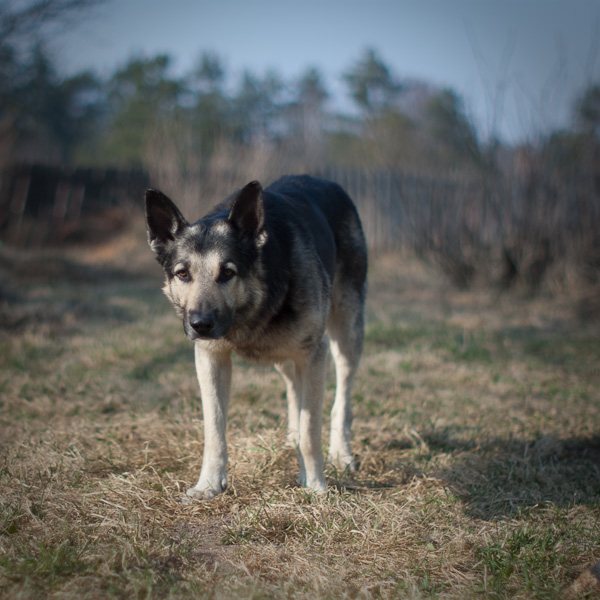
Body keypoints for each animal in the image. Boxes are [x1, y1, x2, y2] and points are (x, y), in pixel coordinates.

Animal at [146, 176, 370, 500]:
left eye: (228, 273)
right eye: (183, 274)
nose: (200, 325)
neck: (254, 308)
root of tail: (327, 181)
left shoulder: (315, 354)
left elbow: (311, 430)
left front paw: (315, 485)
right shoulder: (211, 358)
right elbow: (214, 429)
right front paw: (209, 484)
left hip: (346, 337)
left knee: (342, 399)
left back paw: (340, 454)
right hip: (286, 356)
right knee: (294, 388)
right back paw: (291, 440)